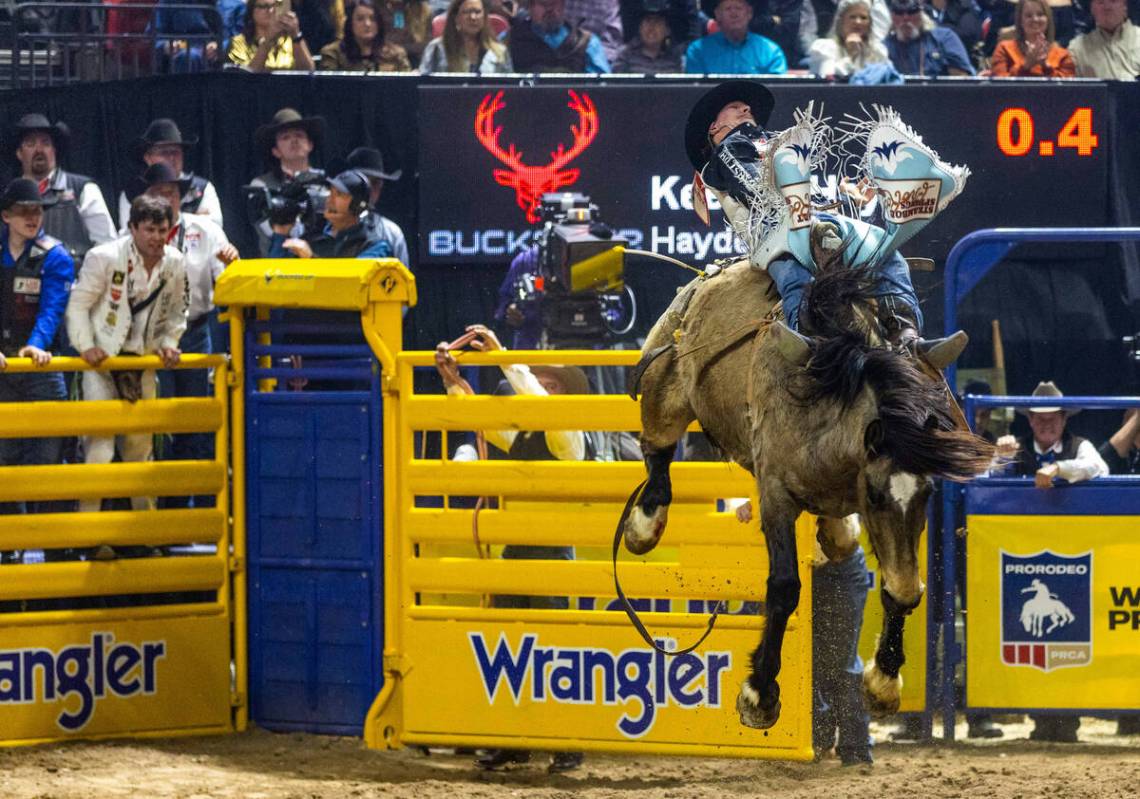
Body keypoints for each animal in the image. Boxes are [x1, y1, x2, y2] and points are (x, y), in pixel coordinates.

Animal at [629, 257, 994, 729]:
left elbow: (900, 587)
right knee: (657, 452)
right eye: (875, 495)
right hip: (664, 393)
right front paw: (760, 694)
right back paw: (644, 525)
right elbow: (784, 586)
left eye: (928, 494)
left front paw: (883, 683)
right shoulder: (775, 494)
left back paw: (836, 534)